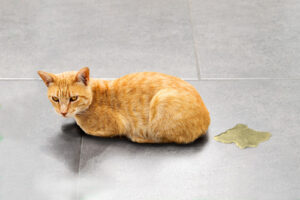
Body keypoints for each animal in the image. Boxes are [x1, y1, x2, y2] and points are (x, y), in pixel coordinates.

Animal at [37, 68, 210, 143]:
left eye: (73, 98)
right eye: (55, 99)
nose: (63, 112)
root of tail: (207, 117)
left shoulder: (112, 127)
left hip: (161, 101)